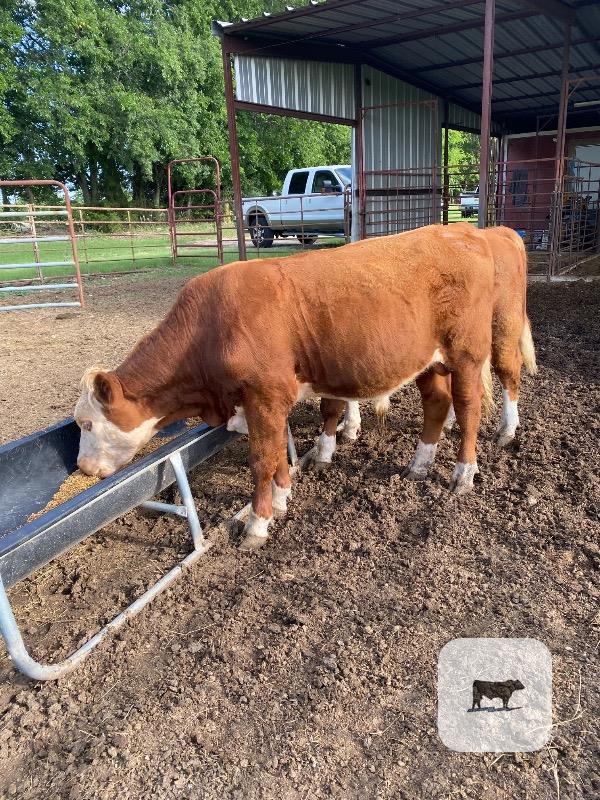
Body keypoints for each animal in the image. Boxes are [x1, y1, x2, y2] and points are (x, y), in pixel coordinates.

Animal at [75, 224, 495, 550]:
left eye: (88, 423)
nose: (83, 467)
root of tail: (461, 233)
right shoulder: (265, 401)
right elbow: (277, 451)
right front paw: (281, 499)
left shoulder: (263, 395)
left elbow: (262, 458)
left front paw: (257, 525)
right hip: (428, 359)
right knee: (437, 403)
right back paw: (419, 464)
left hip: (467, 351)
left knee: (467, 406)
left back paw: (463, 474)